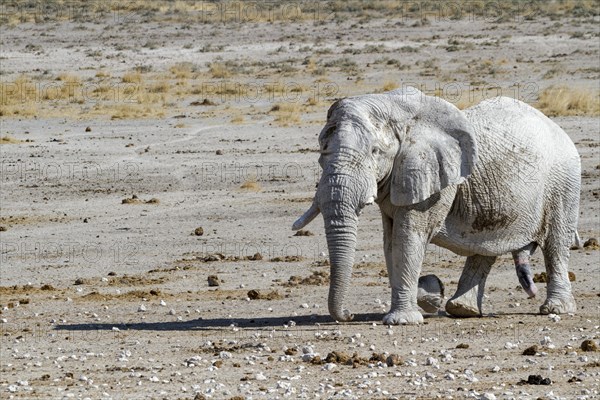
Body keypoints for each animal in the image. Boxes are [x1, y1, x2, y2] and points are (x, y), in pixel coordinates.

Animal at [292, 87, 580, 324]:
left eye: (375, 152)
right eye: (321, 151)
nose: (349, 315)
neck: (393, 108)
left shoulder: (432, 177)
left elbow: (408, 237)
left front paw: (403, 320)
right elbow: (391, 241)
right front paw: (430, 293)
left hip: (563, 182)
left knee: (555, 243)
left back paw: (555, 309)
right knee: (486, 246)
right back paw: (462, 309)